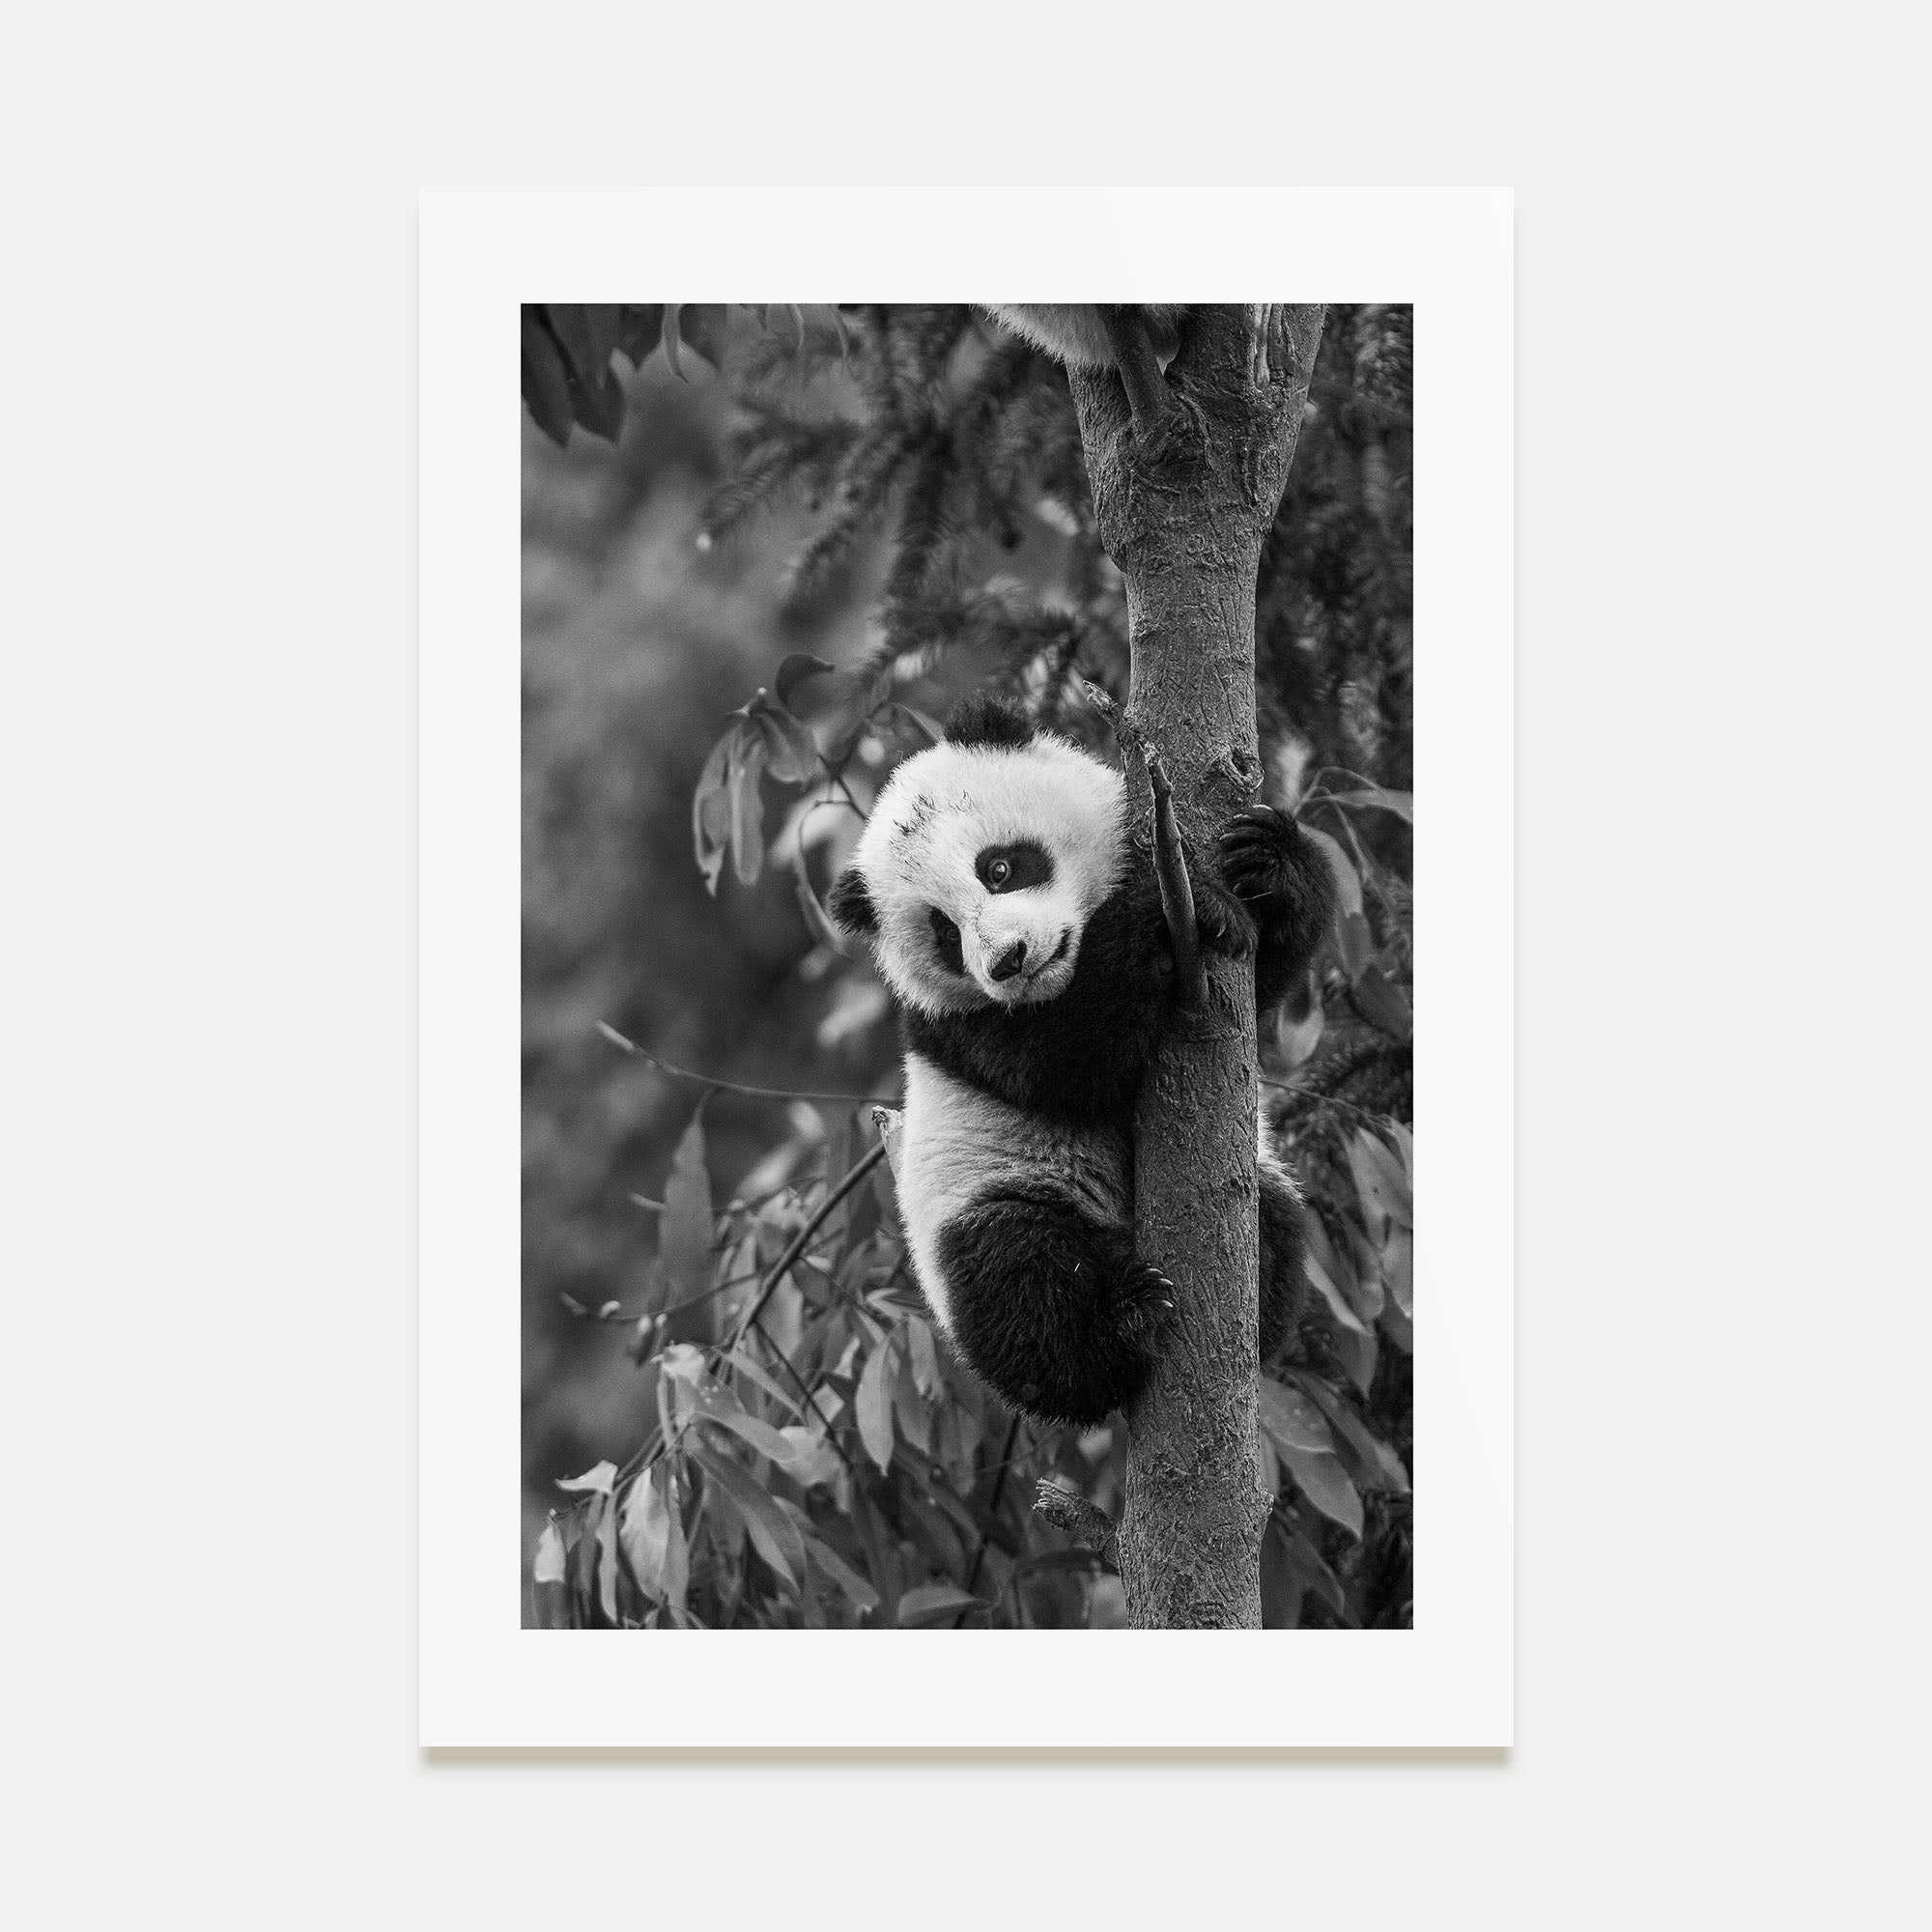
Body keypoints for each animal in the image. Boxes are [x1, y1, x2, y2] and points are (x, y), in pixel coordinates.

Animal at [826, 695, 1336, 1428]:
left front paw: (1265, 862)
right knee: (1020, 1283)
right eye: (944, 934)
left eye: (1000, 867)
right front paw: (1165, 915)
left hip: (1259, 1180)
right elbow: (1065, 1063)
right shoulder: (955, 1026)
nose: (1008, 961)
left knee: (1279, 1221)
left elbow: (1265, 976)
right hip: (988, 1195)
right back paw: (1123, 1323)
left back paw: (1254, 1307)